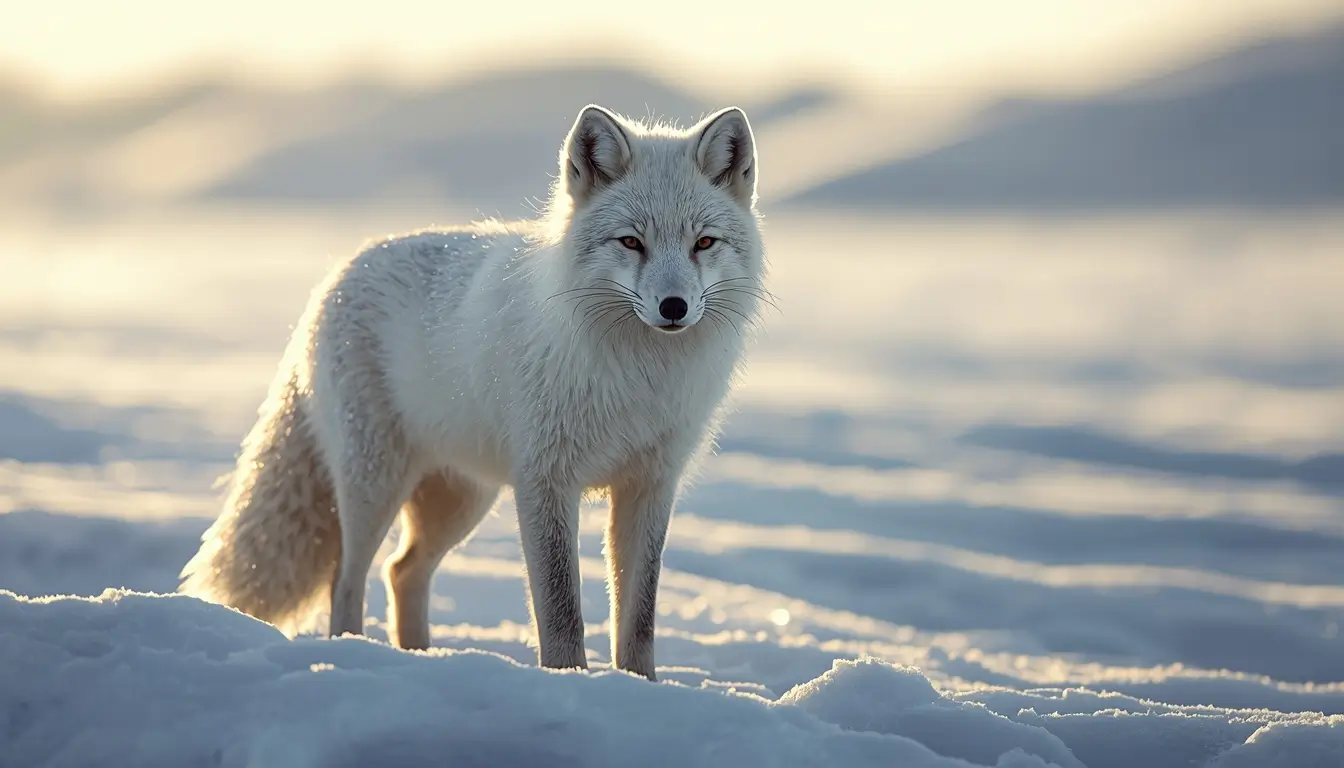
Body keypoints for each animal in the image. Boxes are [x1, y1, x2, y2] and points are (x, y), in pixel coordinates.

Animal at [178, 103, 768, 680]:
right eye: (631, 242)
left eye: (703, 243)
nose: (674, 307)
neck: (639, 377)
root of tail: (338, 274)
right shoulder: (544, 482)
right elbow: (561, 612)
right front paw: (569, 681)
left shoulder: (649, 486)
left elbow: (639, 619)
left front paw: (642, 689)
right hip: (376, 485)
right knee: (346, 579)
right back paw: (355, 654)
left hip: (461, 501)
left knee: (401, 571)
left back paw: (421, 660)